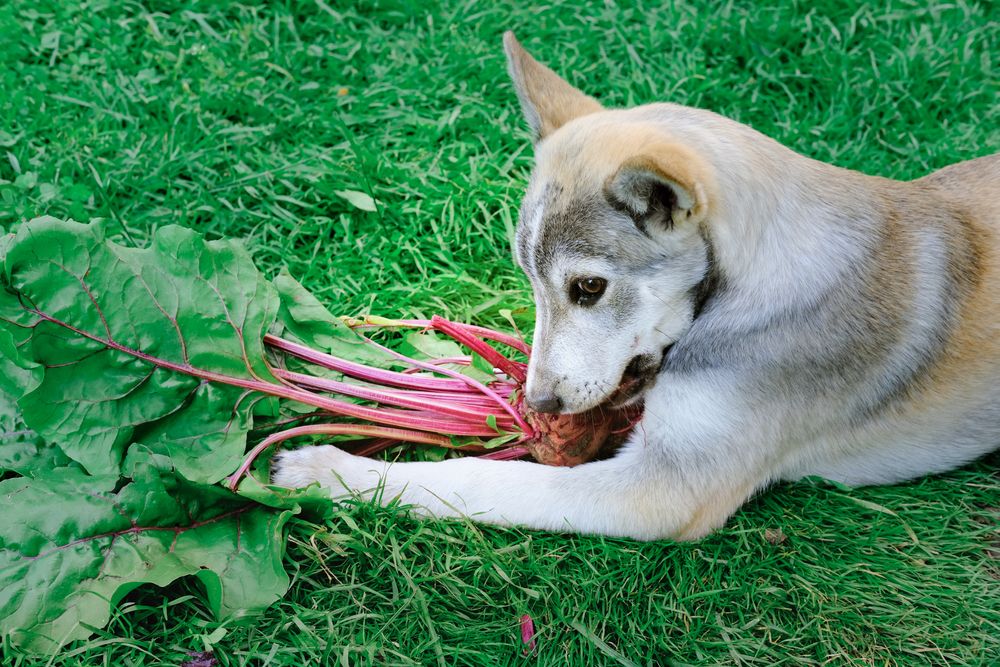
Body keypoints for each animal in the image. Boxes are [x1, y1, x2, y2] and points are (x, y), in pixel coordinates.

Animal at [270, 32, 996, 544]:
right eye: (528, 280)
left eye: (589, 287)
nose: (537, 403)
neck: (748, 284)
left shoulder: (664, 488)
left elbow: (485, 478)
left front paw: (332, 472)